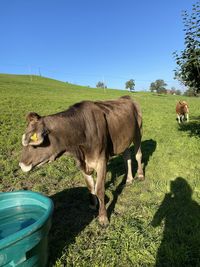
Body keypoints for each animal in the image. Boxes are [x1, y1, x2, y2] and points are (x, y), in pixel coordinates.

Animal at [18, 96, 144, 226]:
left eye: (34, 142)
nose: (22, 164)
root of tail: (126, 97)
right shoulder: (82, 164)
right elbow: (90, 187)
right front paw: (93, 205)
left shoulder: (101, 161)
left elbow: (99, 189)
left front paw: (103, 217)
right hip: (125, 140)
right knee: (127, 157)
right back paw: (129, 179)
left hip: (138, 133)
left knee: (138, 155)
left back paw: (140, 175)